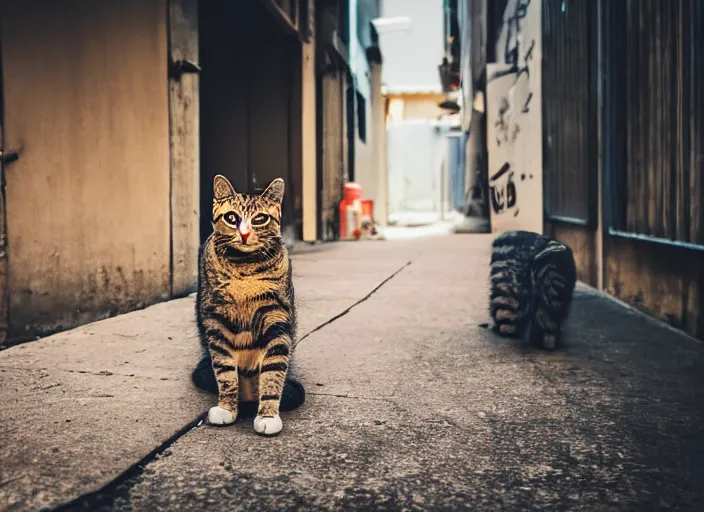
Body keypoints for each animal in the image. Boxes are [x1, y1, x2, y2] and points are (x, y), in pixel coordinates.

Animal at [191, 175, 304, 436]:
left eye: (260, 218)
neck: (244, 267)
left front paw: (268, 415)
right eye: (231, 218)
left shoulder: (277, 319)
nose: (244, 233)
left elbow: (273, 371)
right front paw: (227, 408)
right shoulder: (216, 321)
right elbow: (224, 372)